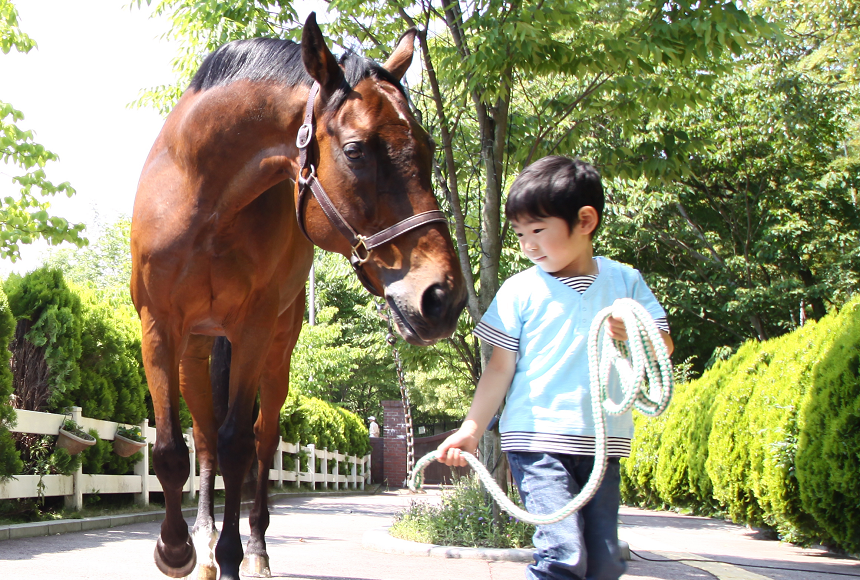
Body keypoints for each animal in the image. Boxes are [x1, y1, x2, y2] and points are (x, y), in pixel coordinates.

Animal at [129, 14, 464, 580]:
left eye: (426, 145)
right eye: (355, 150)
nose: (442, 297)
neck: (204, 198)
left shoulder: (254, 328)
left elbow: (240, 445)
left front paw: (233, 554)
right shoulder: (159, 324)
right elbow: (175, 447)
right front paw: (177, 549)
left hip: (276, 352)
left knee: (261, 443)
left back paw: (257, 550)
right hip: (196, 349)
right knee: (204, 438)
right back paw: (203, 543)